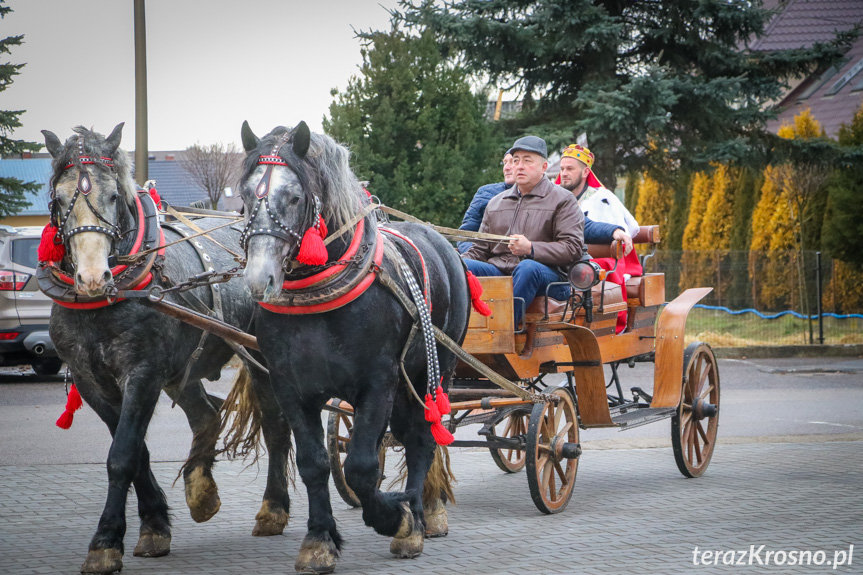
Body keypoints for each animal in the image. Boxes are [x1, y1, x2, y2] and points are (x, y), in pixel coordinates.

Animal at [39, 127, 294, 575]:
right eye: (58, 198)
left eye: (113, 196)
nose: (92, 276)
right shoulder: (92, 381)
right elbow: (136, 452)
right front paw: (155, 525)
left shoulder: (143, 373)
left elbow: (122, 454)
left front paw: (106, 542)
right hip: (183, 371)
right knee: (206, 415)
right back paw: (201, 490)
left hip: (260, 360)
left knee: (276, 425)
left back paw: (273, 509)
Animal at [238, 122, 472, 575]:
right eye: (244, 195)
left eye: (294, 197)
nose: (260, 279)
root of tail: (438, 237)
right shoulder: (289, 385)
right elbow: (313, 462)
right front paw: (319, 540)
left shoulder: (378, 381)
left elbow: (362, 466)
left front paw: (397, 518)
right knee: (407, 434)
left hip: (434, 371)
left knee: (422, 437)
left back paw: (420, 516)